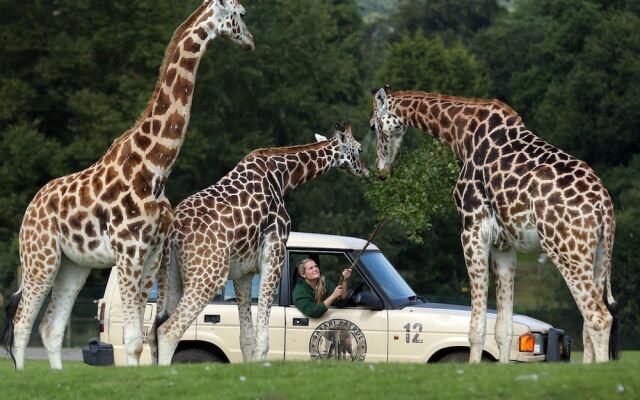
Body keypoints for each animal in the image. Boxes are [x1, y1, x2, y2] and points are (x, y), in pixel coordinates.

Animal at [0, 0, 255, 372]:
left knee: (50, 328)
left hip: (74, 265)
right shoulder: (129, 250)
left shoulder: (151, 255)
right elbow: (133, 341)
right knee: (21, 321)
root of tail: (31, 207)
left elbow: (139, 339)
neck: (155, 169)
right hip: (40, 255)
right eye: (242, 14)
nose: (251, 41)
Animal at [151, 123, 370, 364]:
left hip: (171, 278)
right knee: (168, 330)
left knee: (154, 331)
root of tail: (173, 231)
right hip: (208, 275)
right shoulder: (275, 251)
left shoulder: (243, 272)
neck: (283, 178)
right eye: (360, 149)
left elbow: (246, 337)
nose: (368, 172)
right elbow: (262, 338)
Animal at [370, 86, 620, 364]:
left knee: (598, 317)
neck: (461, 135)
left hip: (567, 250)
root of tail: (604, 206)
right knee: (589, 322)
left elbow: (476, 327)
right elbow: (504, 328)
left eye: (372, 126)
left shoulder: (473, 229)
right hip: (598, 255)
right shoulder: (504, 245)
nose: (380, 171)